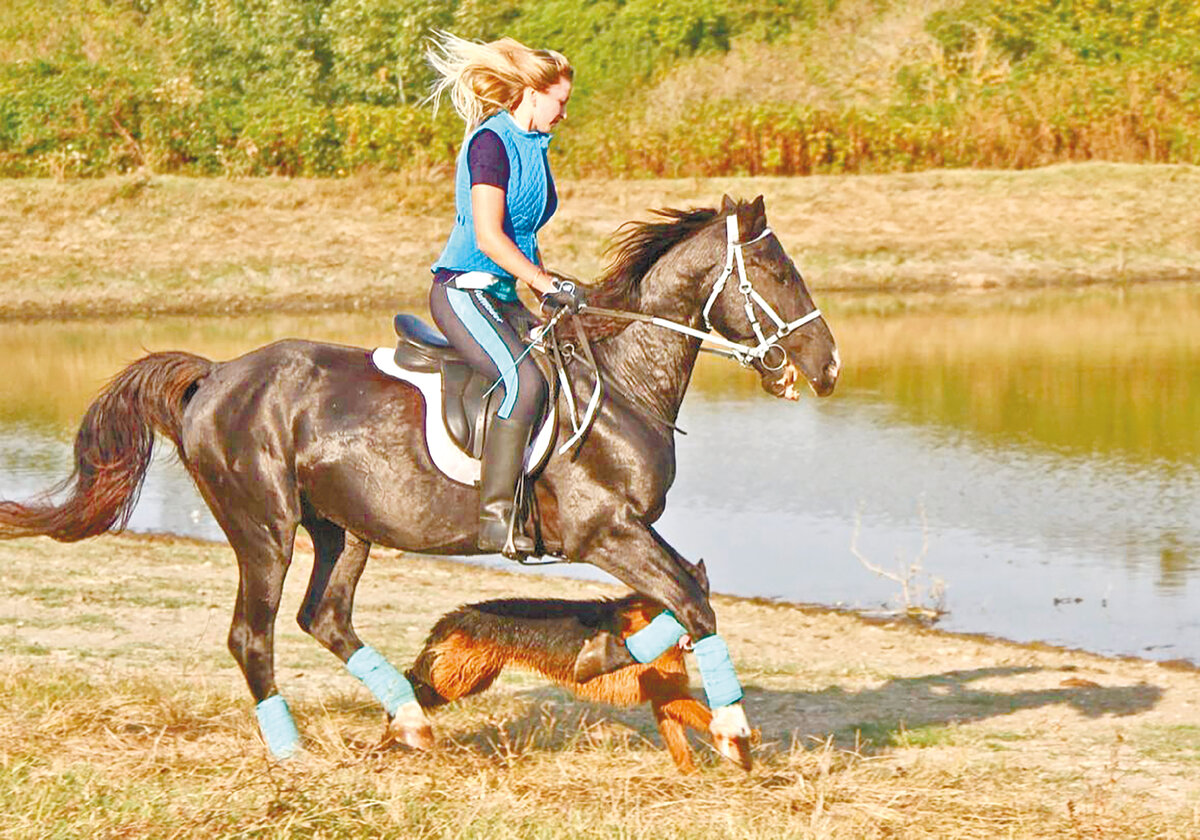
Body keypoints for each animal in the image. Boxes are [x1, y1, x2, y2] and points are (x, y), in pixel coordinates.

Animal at [403, 592, 748, 772]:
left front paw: (690, 776)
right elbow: (707, 718)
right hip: (453, 682)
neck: (654, 621)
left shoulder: (665, 698)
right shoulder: (668, 695)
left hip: (471, 679)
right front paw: (741, 743)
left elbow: (680, 743)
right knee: (411, 685)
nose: (712, 628)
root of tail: (457, 615)